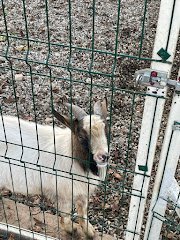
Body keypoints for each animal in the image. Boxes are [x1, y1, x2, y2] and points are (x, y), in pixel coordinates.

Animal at [0, 98, 109, 238]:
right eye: (81, 136)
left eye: (105, 131)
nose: (103, 156)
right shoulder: (63, 194)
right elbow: (66, 215)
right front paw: (71, 229)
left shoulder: (82, 191)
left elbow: (83, 211)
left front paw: (89, 231)